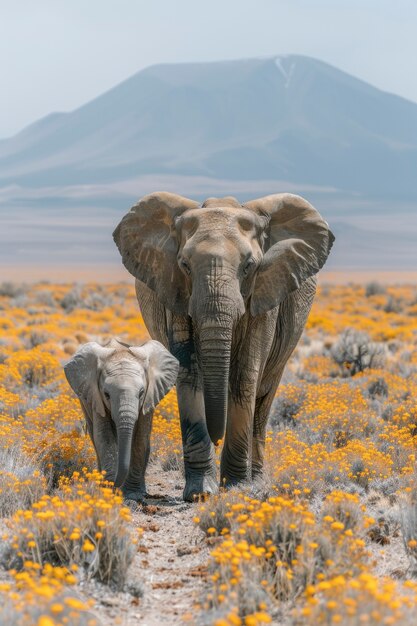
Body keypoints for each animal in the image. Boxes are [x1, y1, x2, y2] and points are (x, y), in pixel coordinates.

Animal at [64, 338, 178, 500]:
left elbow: (141, 438)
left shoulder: (149, 399)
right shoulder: (95, 397)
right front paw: (108, 489)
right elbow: (104, 436)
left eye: (141, 392)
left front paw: (133, 494)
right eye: (106, 394)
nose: (116, 486)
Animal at [112, 193, 334, 500]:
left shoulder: (265, 292)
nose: (216, 438)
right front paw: (200, 493)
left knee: (263, 399)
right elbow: (189, 373)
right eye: (184, 265)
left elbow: (244, 376)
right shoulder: (175, 291)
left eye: (249, 266)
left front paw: (237, 489)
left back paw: (257, 480)